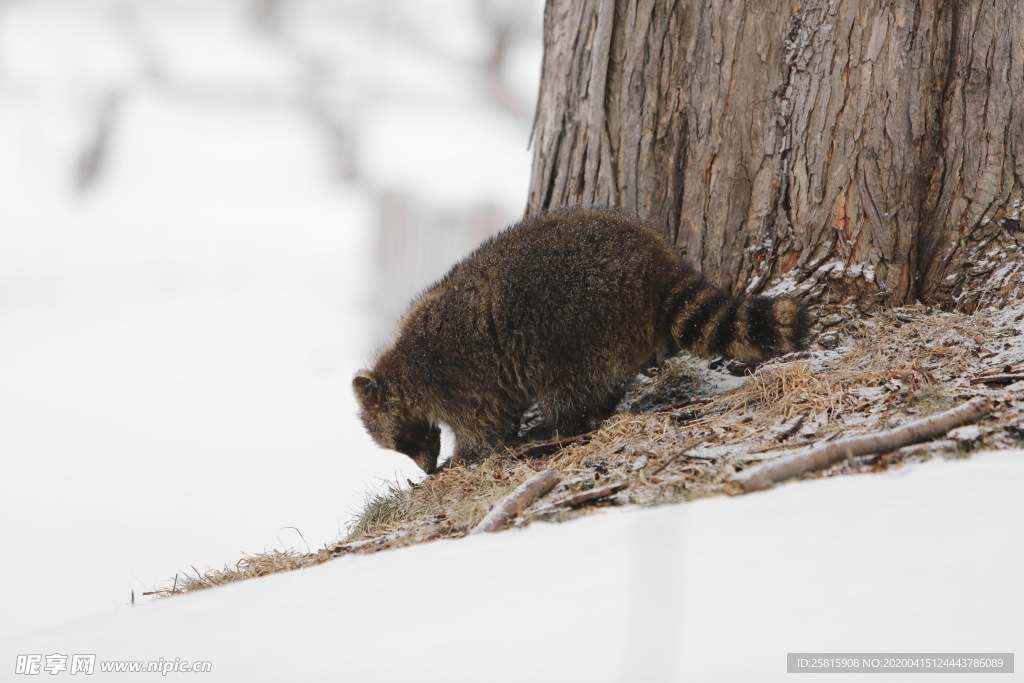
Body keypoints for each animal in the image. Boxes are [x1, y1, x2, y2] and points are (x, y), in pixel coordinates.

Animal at [356, 209, 811, 475]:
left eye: (407, 441)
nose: (427, 471)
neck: (401, 369)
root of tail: (656, 267)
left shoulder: (454, 379)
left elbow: (484, 423)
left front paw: (465, 455)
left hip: (574, 322)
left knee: (566, 385)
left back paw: (562, 427)